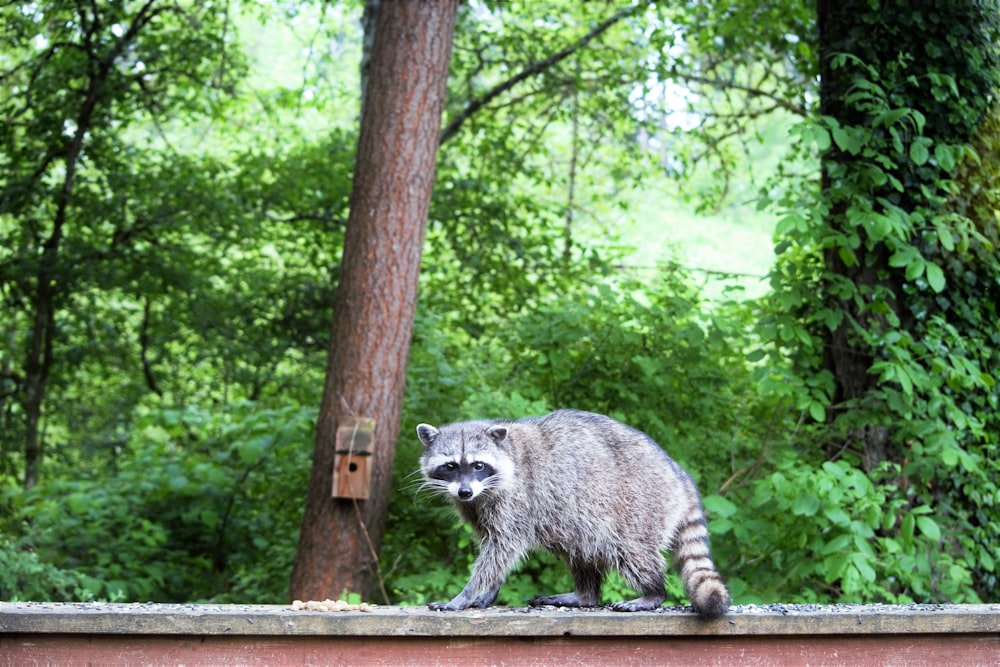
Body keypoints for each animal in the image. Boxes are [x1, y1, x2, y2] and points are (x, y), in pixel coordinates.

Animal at [418, 410, 732, 620]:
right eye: (450, 466)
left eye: (478, 465)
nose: (464, 492)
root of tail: (677, 472)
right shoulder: (476, 507)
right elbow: (495, 548)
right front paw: (488, 591)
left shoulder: (516, 501)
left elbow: (501, 549)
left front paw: (468, 592)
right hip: (581, 518)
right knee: (581, 549)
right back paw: (584, 595)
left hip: (637, 505)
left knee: (633, 551)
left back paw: (653, 591)